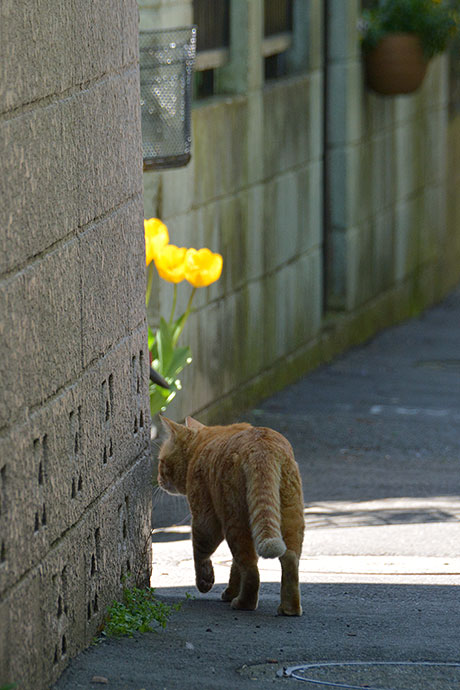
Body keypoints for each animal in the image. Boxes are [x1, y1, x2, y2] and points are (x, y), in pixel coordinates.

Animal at [156, 414, 304, 612]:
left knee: (251, 570)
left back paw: (243, 603)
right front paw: (231, 591)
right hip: (289, 518)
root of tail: (262, 448)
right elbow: (235, 567)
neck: (202, 443)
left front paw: (205, 581)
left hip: (233, 520)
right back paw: (289, 609)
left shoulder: (204, 519)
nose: (158, 480)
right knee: (289, 560)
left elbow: (200, 553)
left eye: (161, 462)